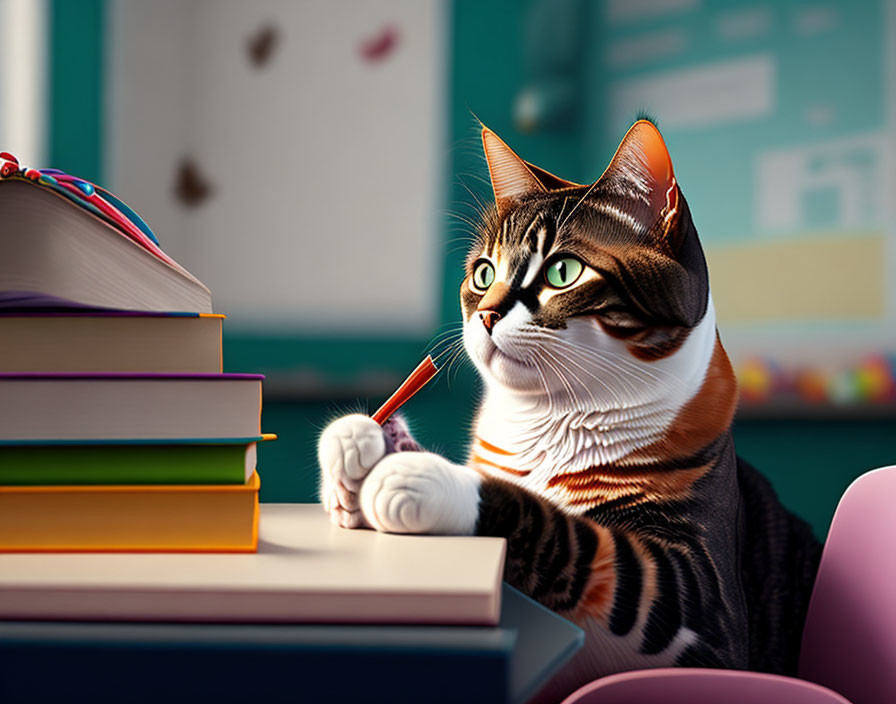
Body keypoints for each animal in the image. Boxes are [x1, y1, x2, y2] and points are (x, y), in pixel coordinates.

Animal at [318, 119, 824, 700]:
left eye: (563, 271)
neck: (548, 423)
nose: (486, 313)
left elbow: (581, 539)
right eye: (483, 273)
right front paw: (359, 446)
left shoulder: (704, 596)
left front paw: (424, 480)